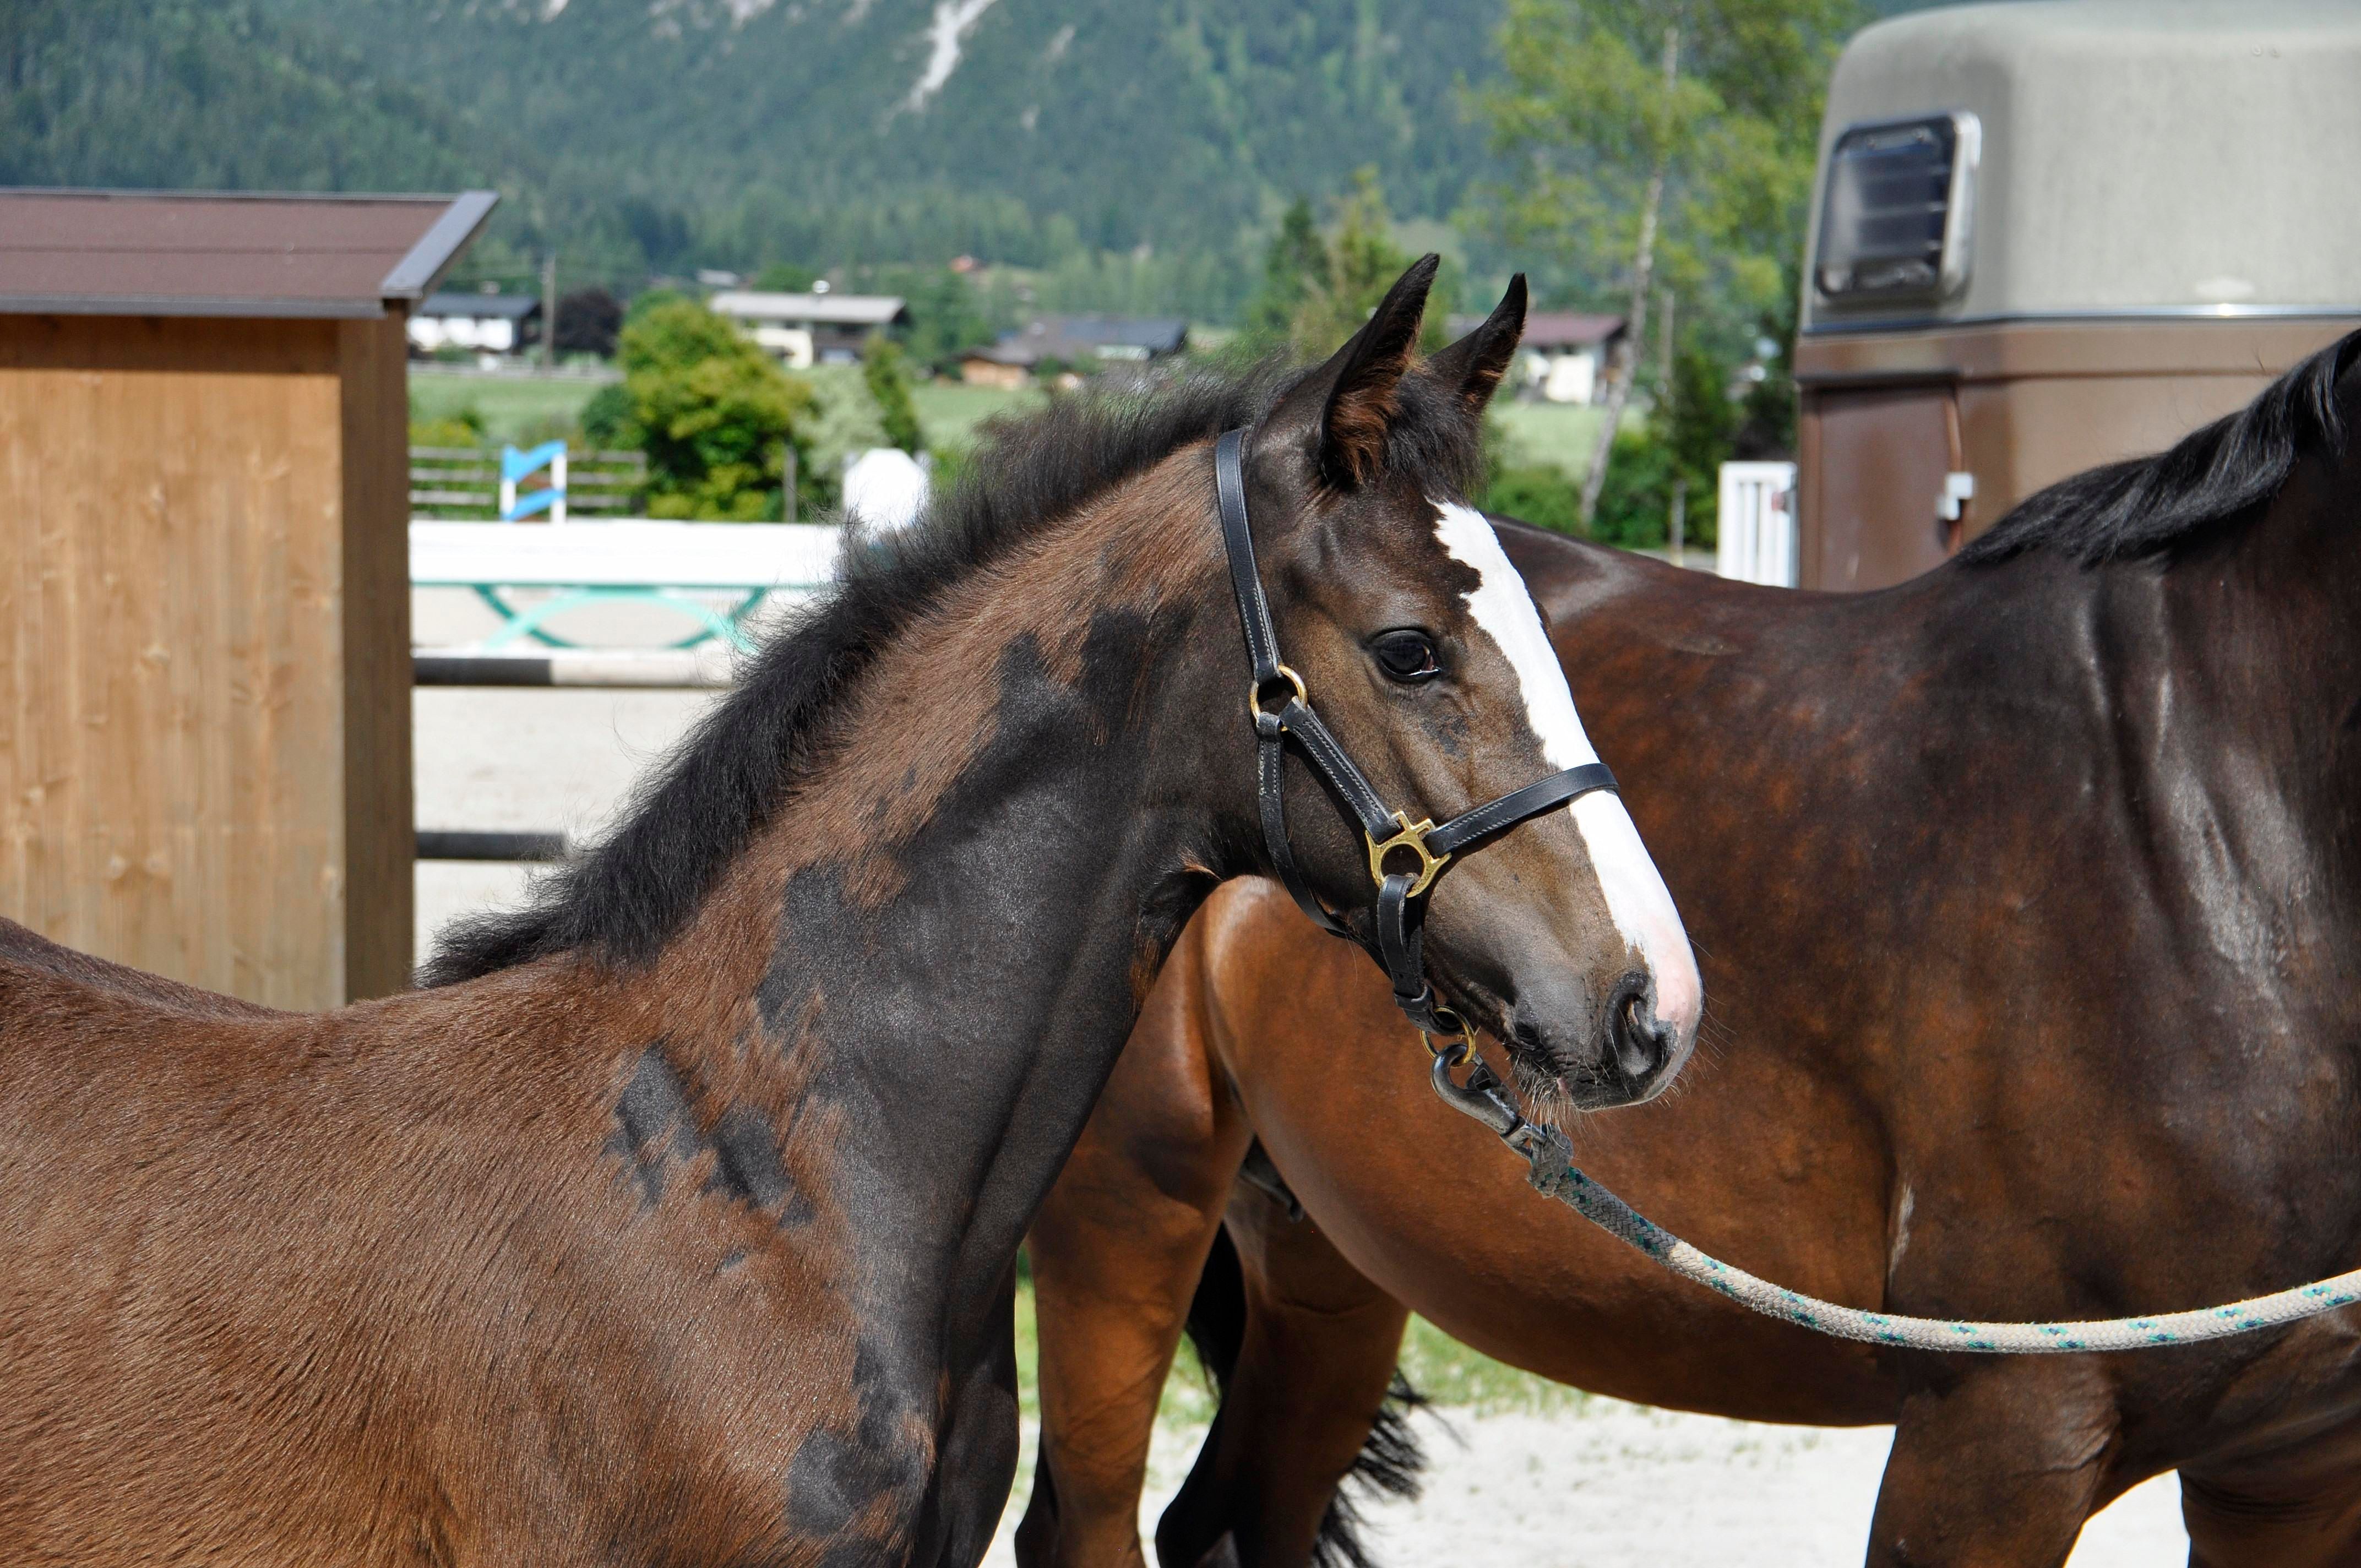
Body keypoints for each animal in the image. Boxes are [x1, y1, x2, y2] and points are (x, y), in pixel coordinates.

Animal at [1015, 332, 2361, 1568]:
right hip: (1123, 1212)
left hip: (1320, 1261)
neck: (2205, 804)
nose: (1645, 1007)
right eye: (1406, 650)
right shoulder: (1998, 1428)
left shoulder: (2285, 1466)